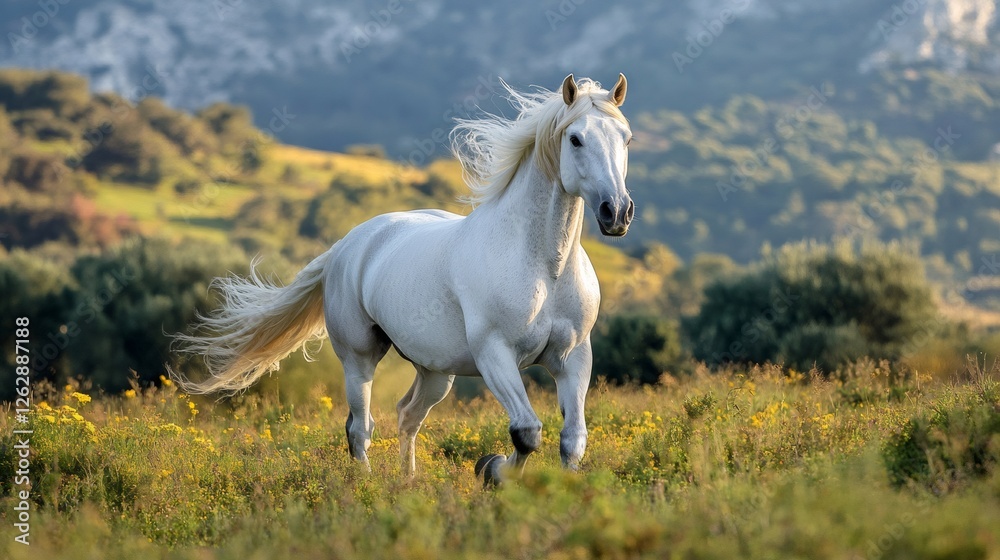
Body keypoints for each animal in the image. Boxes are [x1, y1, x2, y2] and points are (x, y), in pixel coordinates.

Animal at [170, 73, 633, 485]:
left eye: (626, 138)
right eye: (575, 139)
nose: (617, 212)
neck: (542, 266)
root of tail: (346, 245)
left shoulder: (573, 356)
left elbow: (572, 439)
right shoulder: (495, 354)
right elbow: (526, 433)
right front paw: (493, 471)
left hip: (436, 371)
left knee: (408, 415)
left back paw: (408, 481)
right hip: (359, 357)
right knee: (360, 428)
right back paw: (367, 485)